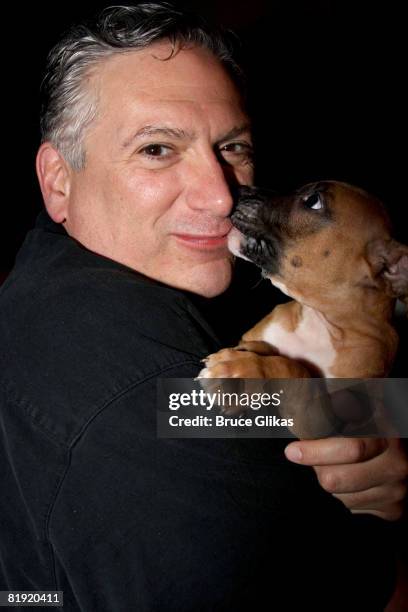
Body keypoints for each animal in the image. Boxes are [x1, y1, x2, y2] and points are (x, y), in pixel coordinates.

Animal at [197, 179, 404, 438]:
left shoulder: (323, 424)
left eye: (313, 200)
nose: (238, 189)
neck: (320, 321)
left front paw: (241, 374)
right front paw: (249, 355)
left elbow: (296, 371)